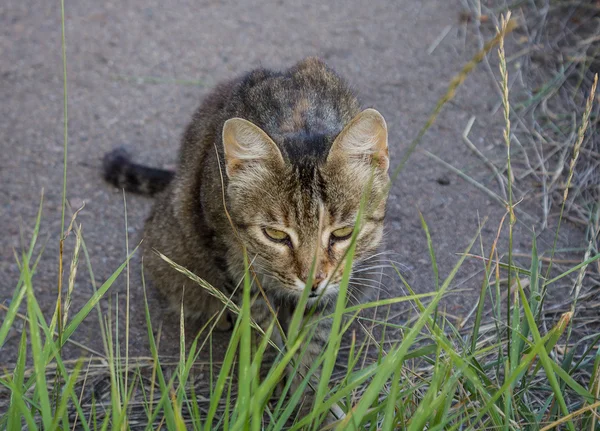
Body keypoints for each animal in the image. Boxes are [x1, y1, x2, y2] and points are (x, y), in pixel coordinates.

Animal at [103, 56, 390, 418]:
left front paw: (307, 401)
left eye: (342, 233)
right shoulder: (233, 263)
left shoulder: (333, 291)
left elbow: (312, 342)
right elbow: (262, 332)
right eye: (275, 235)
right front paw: (267, 387)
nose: (312, 281)